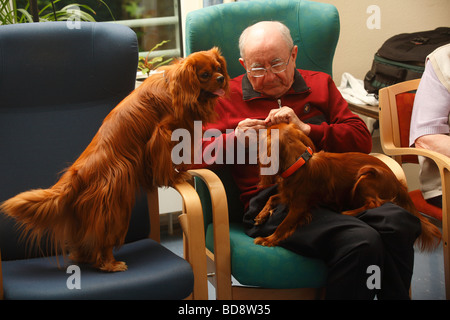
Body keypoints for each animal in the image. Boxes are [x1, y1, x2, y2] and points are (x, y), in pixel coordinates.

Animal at [0, 47, 229, 272]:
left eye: (218, 68)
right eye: (205, 75)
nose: (220, 79)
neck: (175, 88)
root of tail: (78, 173)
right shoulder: (162, 135)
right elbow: (165, 164)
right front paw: (174, 177)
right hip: (113, 209)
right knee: (102, 242)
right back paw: (110, 264)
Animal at [255, 122, 442, 250]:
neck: (299, 163)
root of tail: (397, 182)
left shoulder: (299, 206)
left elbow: (283, 225)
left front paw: (268, 239)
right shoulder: (288, 195)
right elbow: (272, 197)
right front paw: (261, 215)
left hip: (366, 177)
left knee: (374, 202)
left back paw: (349, 212)